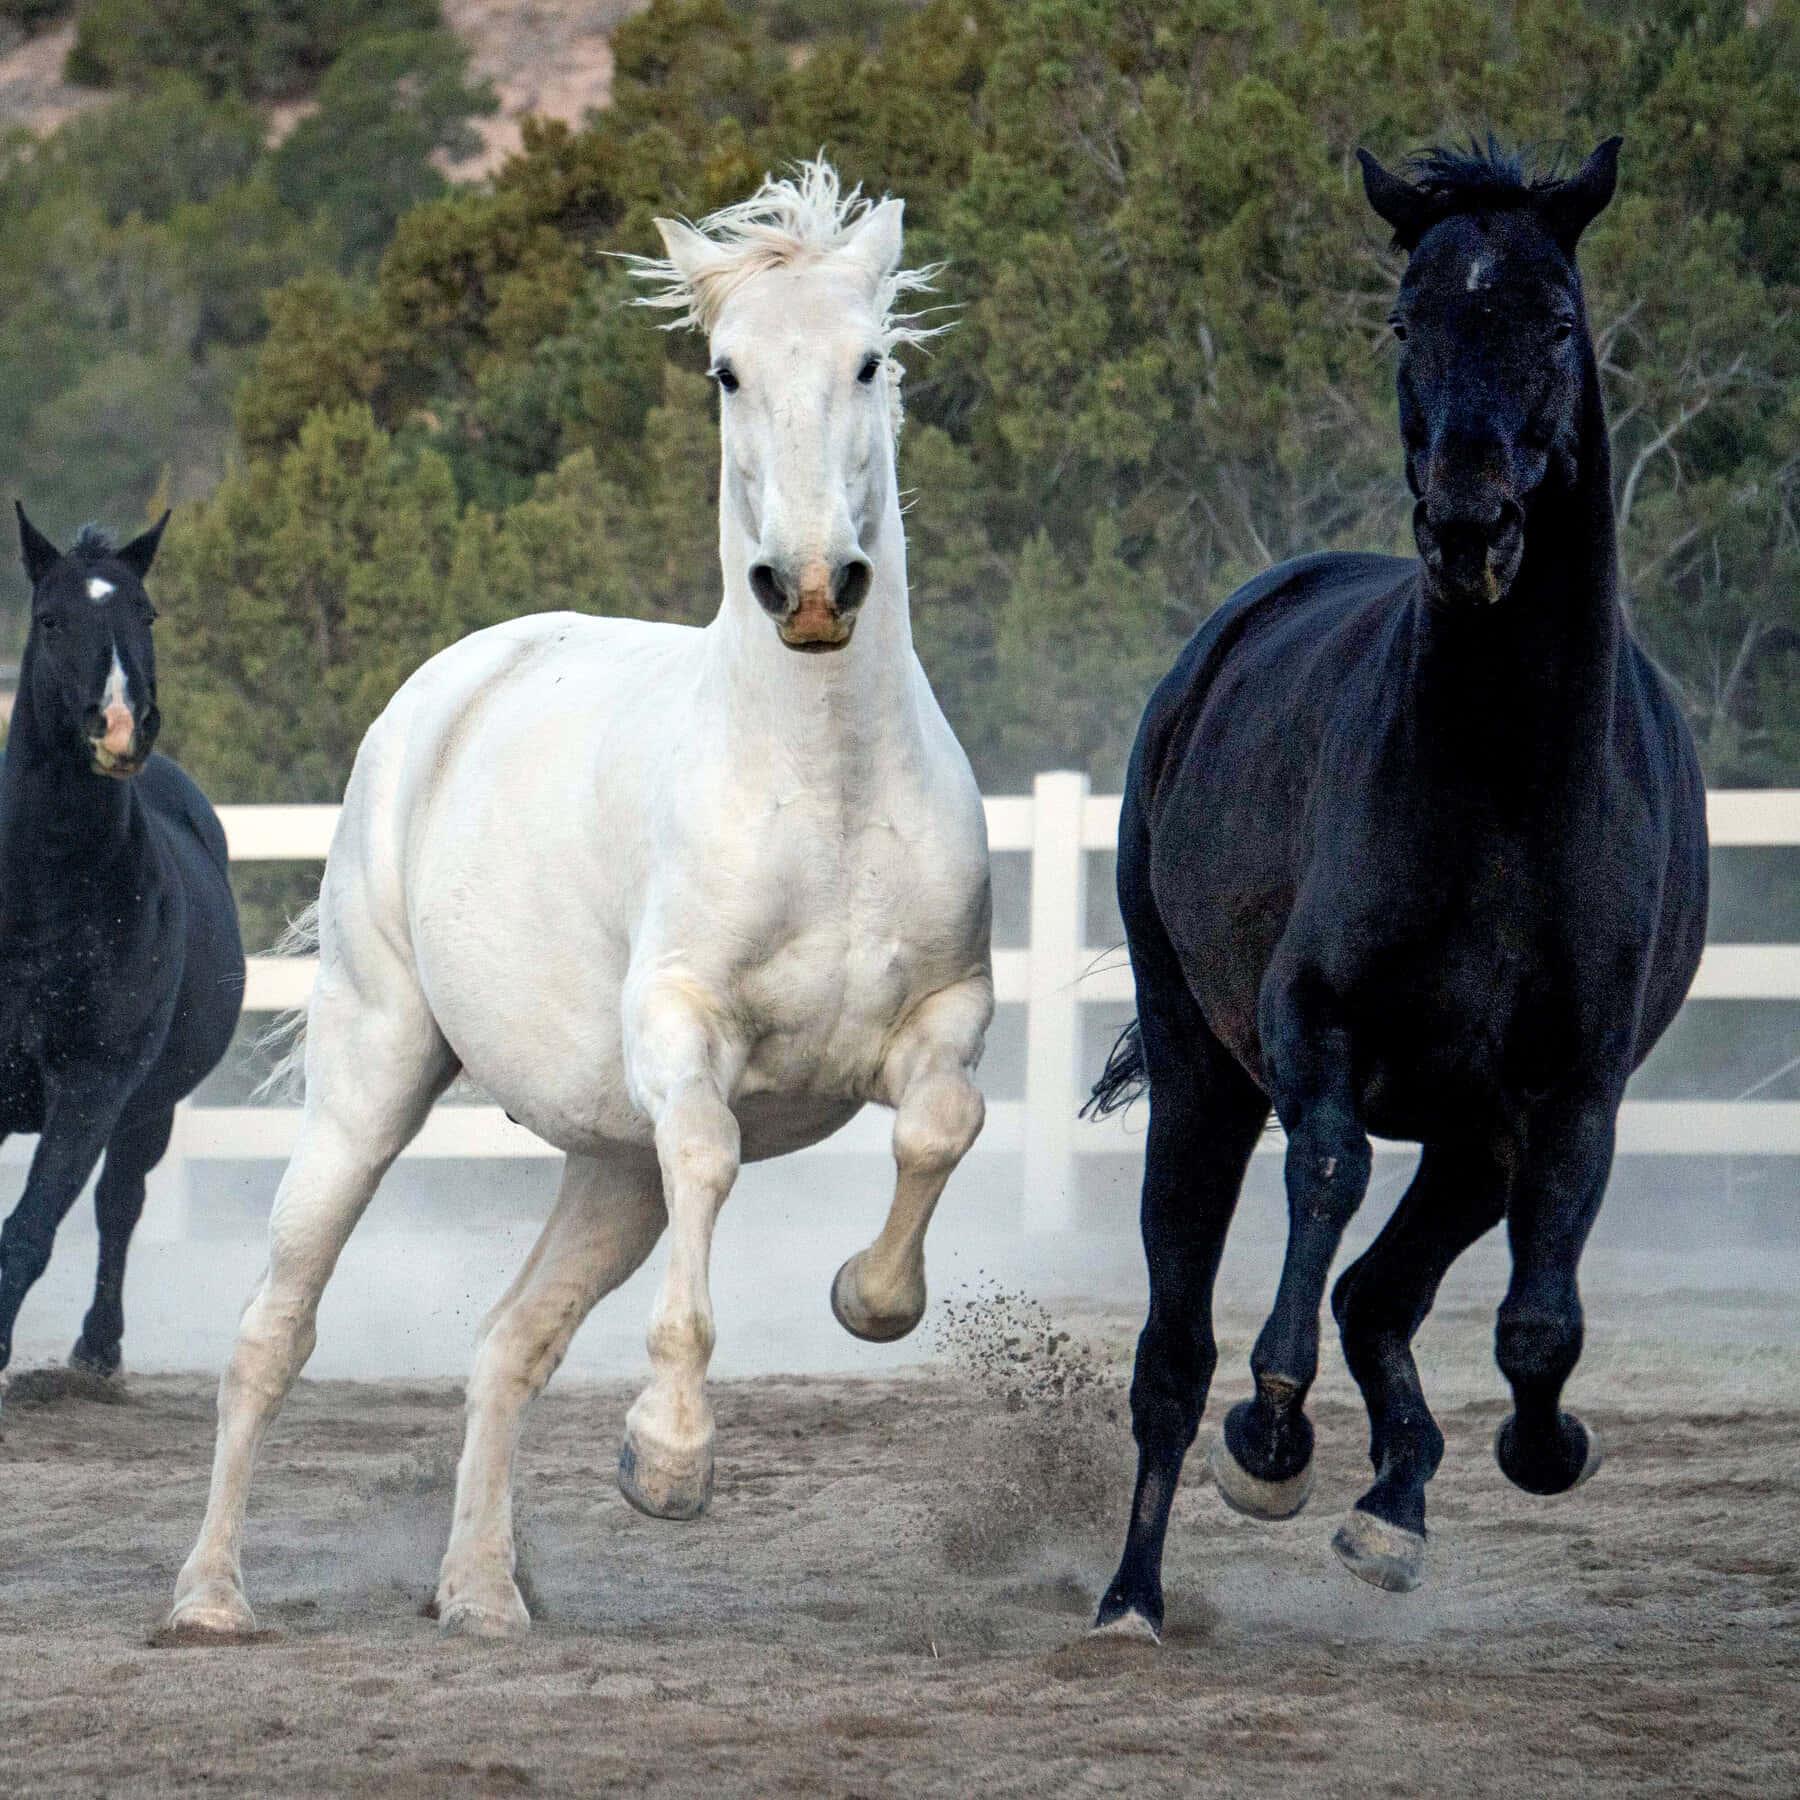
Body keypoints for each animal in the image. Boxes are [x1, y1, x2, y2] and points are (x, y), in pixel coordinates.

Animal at [0, 508, 244, 1393]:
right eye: (51, 619)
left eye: (146, 614)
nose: (119, 725)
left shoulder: (95, 1088)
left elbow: (31, 1230)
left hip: (150, 1108)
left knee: (120, 1207)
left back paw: (97, 1349)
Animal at [168, 161, 994, 1641]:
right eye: (727, 371)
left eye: (869, 360)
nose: (813, 588)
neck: (825, 791)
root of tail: (455, 681)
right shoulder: (681, 1033)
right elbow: (713, 1157)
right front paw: (667, 1460)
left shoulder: (949, 1014)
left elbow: (939, 1130)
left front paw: (868, 1298)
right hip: (373, 1075)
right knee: (275, 1329)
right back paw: (210, 1597)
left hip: (607, 1169)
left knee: (511, 1342)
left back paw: (482, 1594)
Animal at [1087, 139, 1708, 1641]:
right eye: (1404, 320)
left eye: (1558, 322)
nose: (1471, 525)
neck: (1504, 782)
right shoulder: (1315, 1025)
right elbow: (1326, 1171)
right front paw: (1272, 1438)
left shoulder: (1568, 1091)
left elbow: (1539, 1319)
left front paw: (1535, 1449)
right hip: (1200, 1072)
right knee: (1175, 1346)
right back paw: (1136, 1592)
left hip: (1473, 1141)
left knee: (1383, 1295)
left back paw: (1396, 1498)